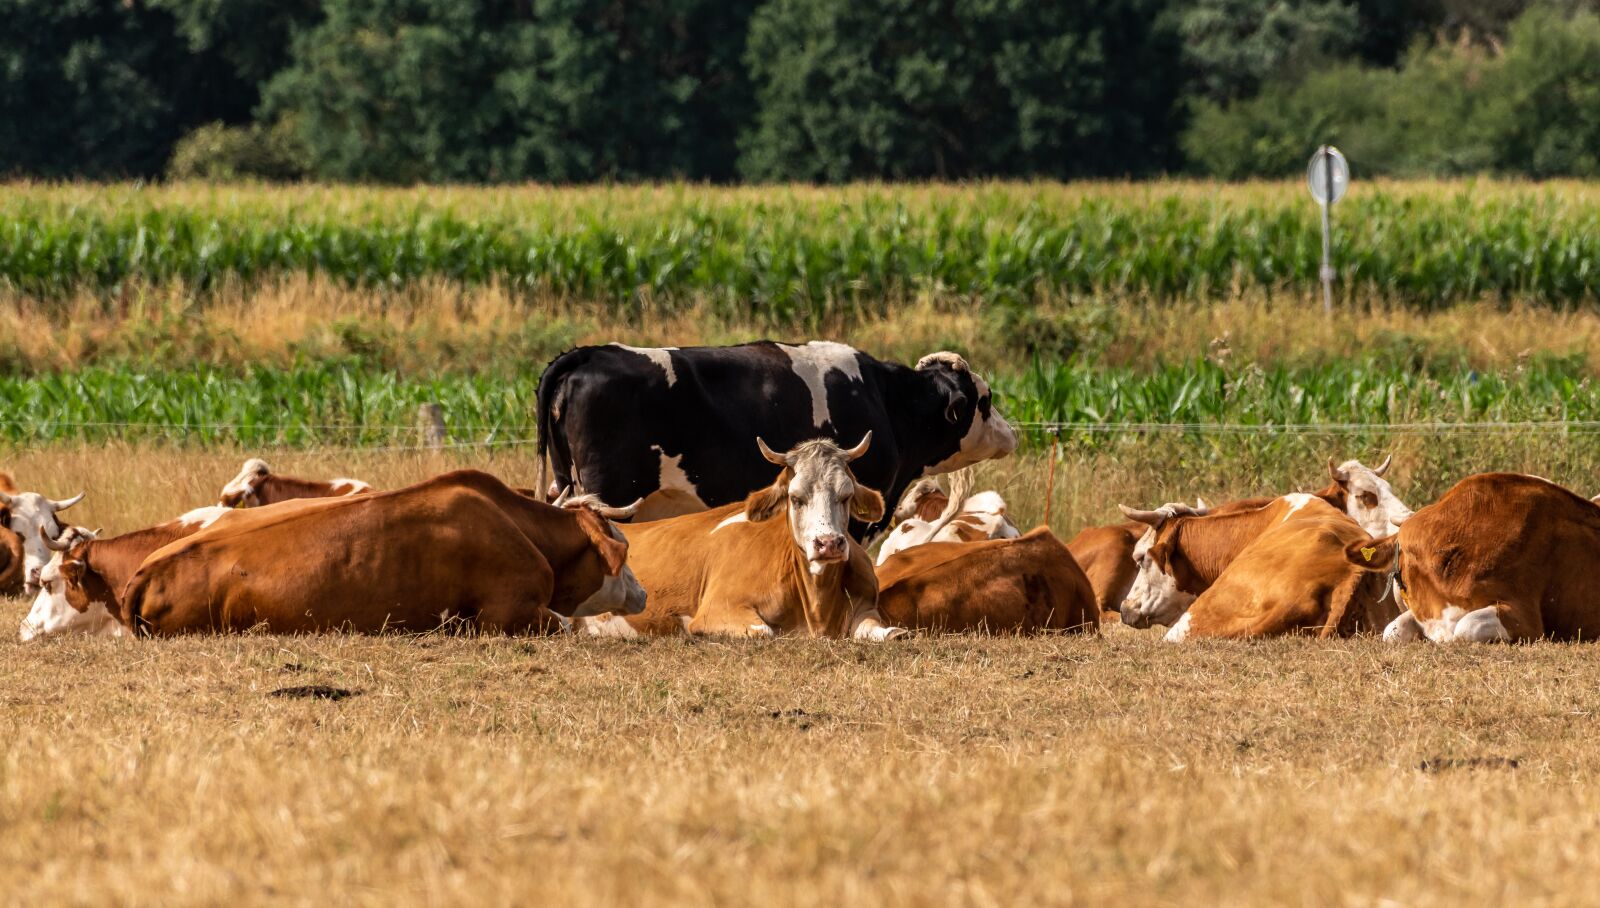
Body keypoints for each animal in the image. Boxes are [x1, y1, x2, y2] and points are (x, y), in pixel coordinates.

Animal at [535, 342, 1017, 535]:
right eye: (986, 400)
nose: (1012, 433)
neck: (886, 399)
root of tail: (589, 353)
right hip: (610, 492)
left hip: (566, 480)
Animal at [575, 435, 904, 640]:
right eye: (796, 498)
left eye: (845, 496)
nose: (829, 543)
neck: (817, 607)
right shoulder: (718, 608)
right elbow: (765, 633)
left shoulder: (867, 607)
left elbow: (887, 633)